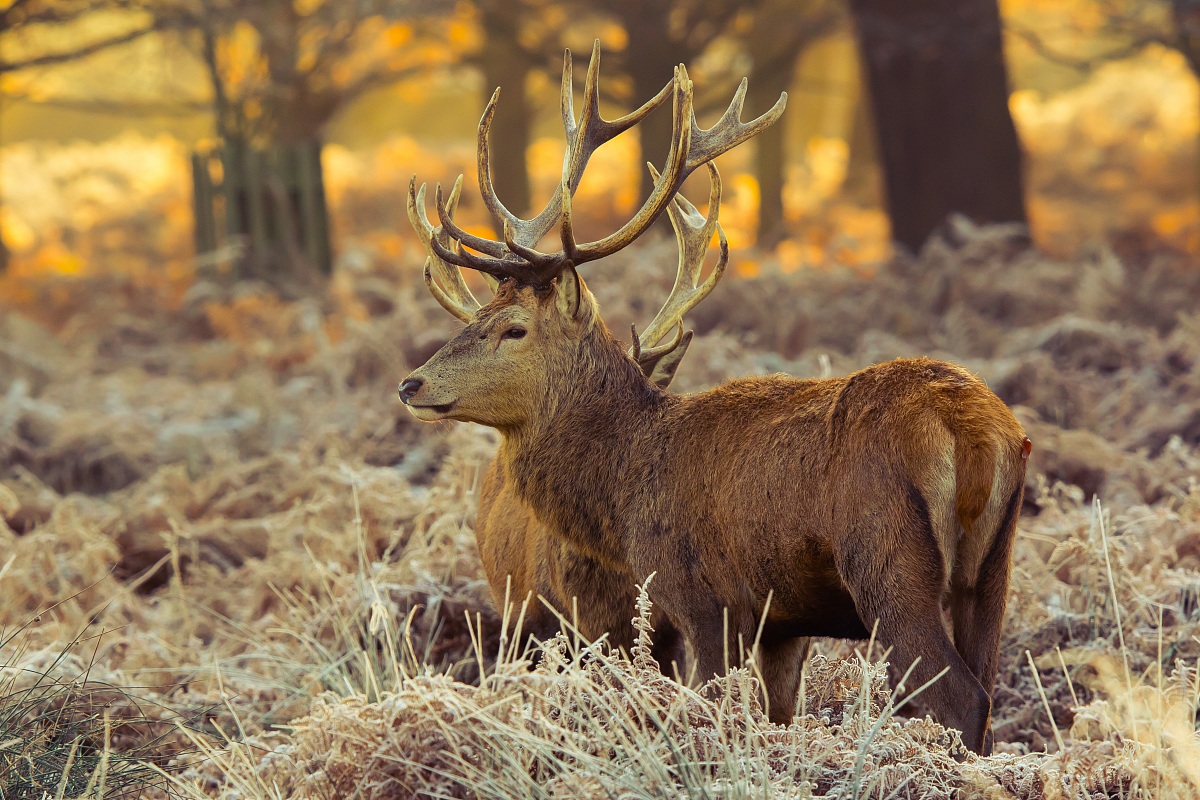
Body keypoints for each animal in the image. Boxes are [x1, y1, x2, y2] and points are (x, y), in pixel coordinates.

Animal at [400, 42, 1029, 756]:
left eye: (513, 328)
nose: (412, 383)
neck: (623, 490)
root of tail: (974, 431)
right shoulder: (781, 622)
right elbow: (777, 713)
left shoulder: (702, 599)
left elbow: (707, 704)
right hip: (993, 570)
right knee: (985, 682)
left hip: (889, 564)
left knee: (957, 695)